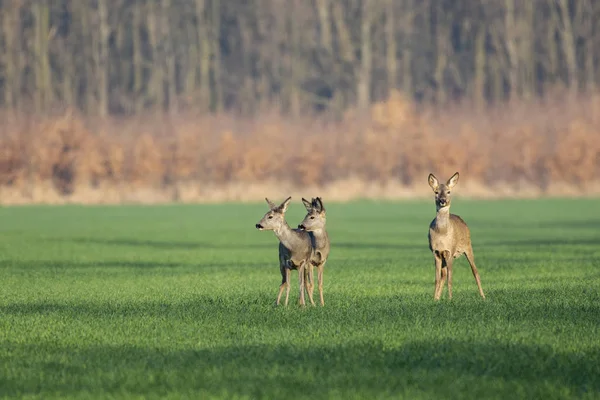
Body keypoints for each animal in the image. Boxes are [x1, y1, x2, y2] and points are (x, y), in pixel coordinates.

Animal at [426, 172, 488, 300]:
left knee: (475, 271)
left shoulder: (450, 250)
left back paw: (483, 297)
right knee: (443, 274)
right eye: (436, 192)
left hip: (468, 247)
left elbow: (450, 279)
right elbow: (437, 278)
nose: (443, 200)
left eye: (449, 191)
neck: (442, 233)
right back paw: (438, 297)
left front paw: (450, 299)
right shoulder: (436, 252)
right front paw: (434, 299)